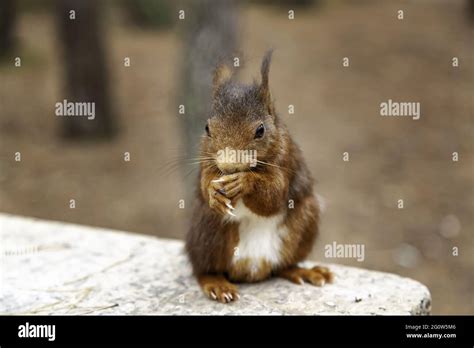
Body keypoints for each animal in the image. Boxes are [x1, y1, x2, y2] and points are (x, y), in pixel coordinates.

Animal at [185, 50, 334, 304]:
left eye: (260, 130)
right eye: (207, 128)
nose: (229, 165)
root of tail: (253, 270)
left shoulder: (286, 163)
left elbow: (272, 198)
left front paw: (245, 182)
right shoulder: (205, 161)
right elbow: (205, 182)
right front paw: (213, 191)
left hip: (306, 220)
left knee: (282, 267)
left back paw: (303, 271)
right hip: (205, 229)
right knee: (202, 270)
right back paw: (217, 283)